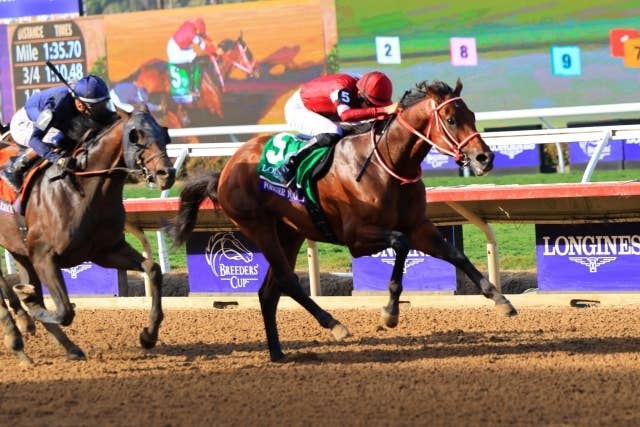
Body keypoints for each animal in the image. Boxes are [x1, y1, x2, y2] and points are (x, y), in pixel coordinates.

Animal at [0, 104, 175, 363]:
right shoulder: (44, 256)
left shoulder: (106, 251)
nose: (167, 174)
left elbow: (152, 269)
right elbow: (64, 311)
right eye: (136, 135)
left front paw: (148, 335)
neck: (82, 189)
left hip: (19, 249)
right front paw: (29, 303)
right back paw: (16, 334)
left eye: (165, 134)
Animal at [168, 79, 517, 362]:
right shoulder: (356, 237)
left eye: (472, 116)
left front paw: (501, 301)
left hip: (290, 232)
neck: (389, 162)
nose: (485, 158)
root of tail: (227, 167)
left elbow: (456, 256)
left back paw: (278, 353)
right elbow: (400, 245)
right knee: (288, 281)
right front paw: (389, 313)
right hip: (259, 227)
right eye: (451, 119)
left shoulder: (419, 227)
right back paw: (335, 325)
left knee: (269, 291)